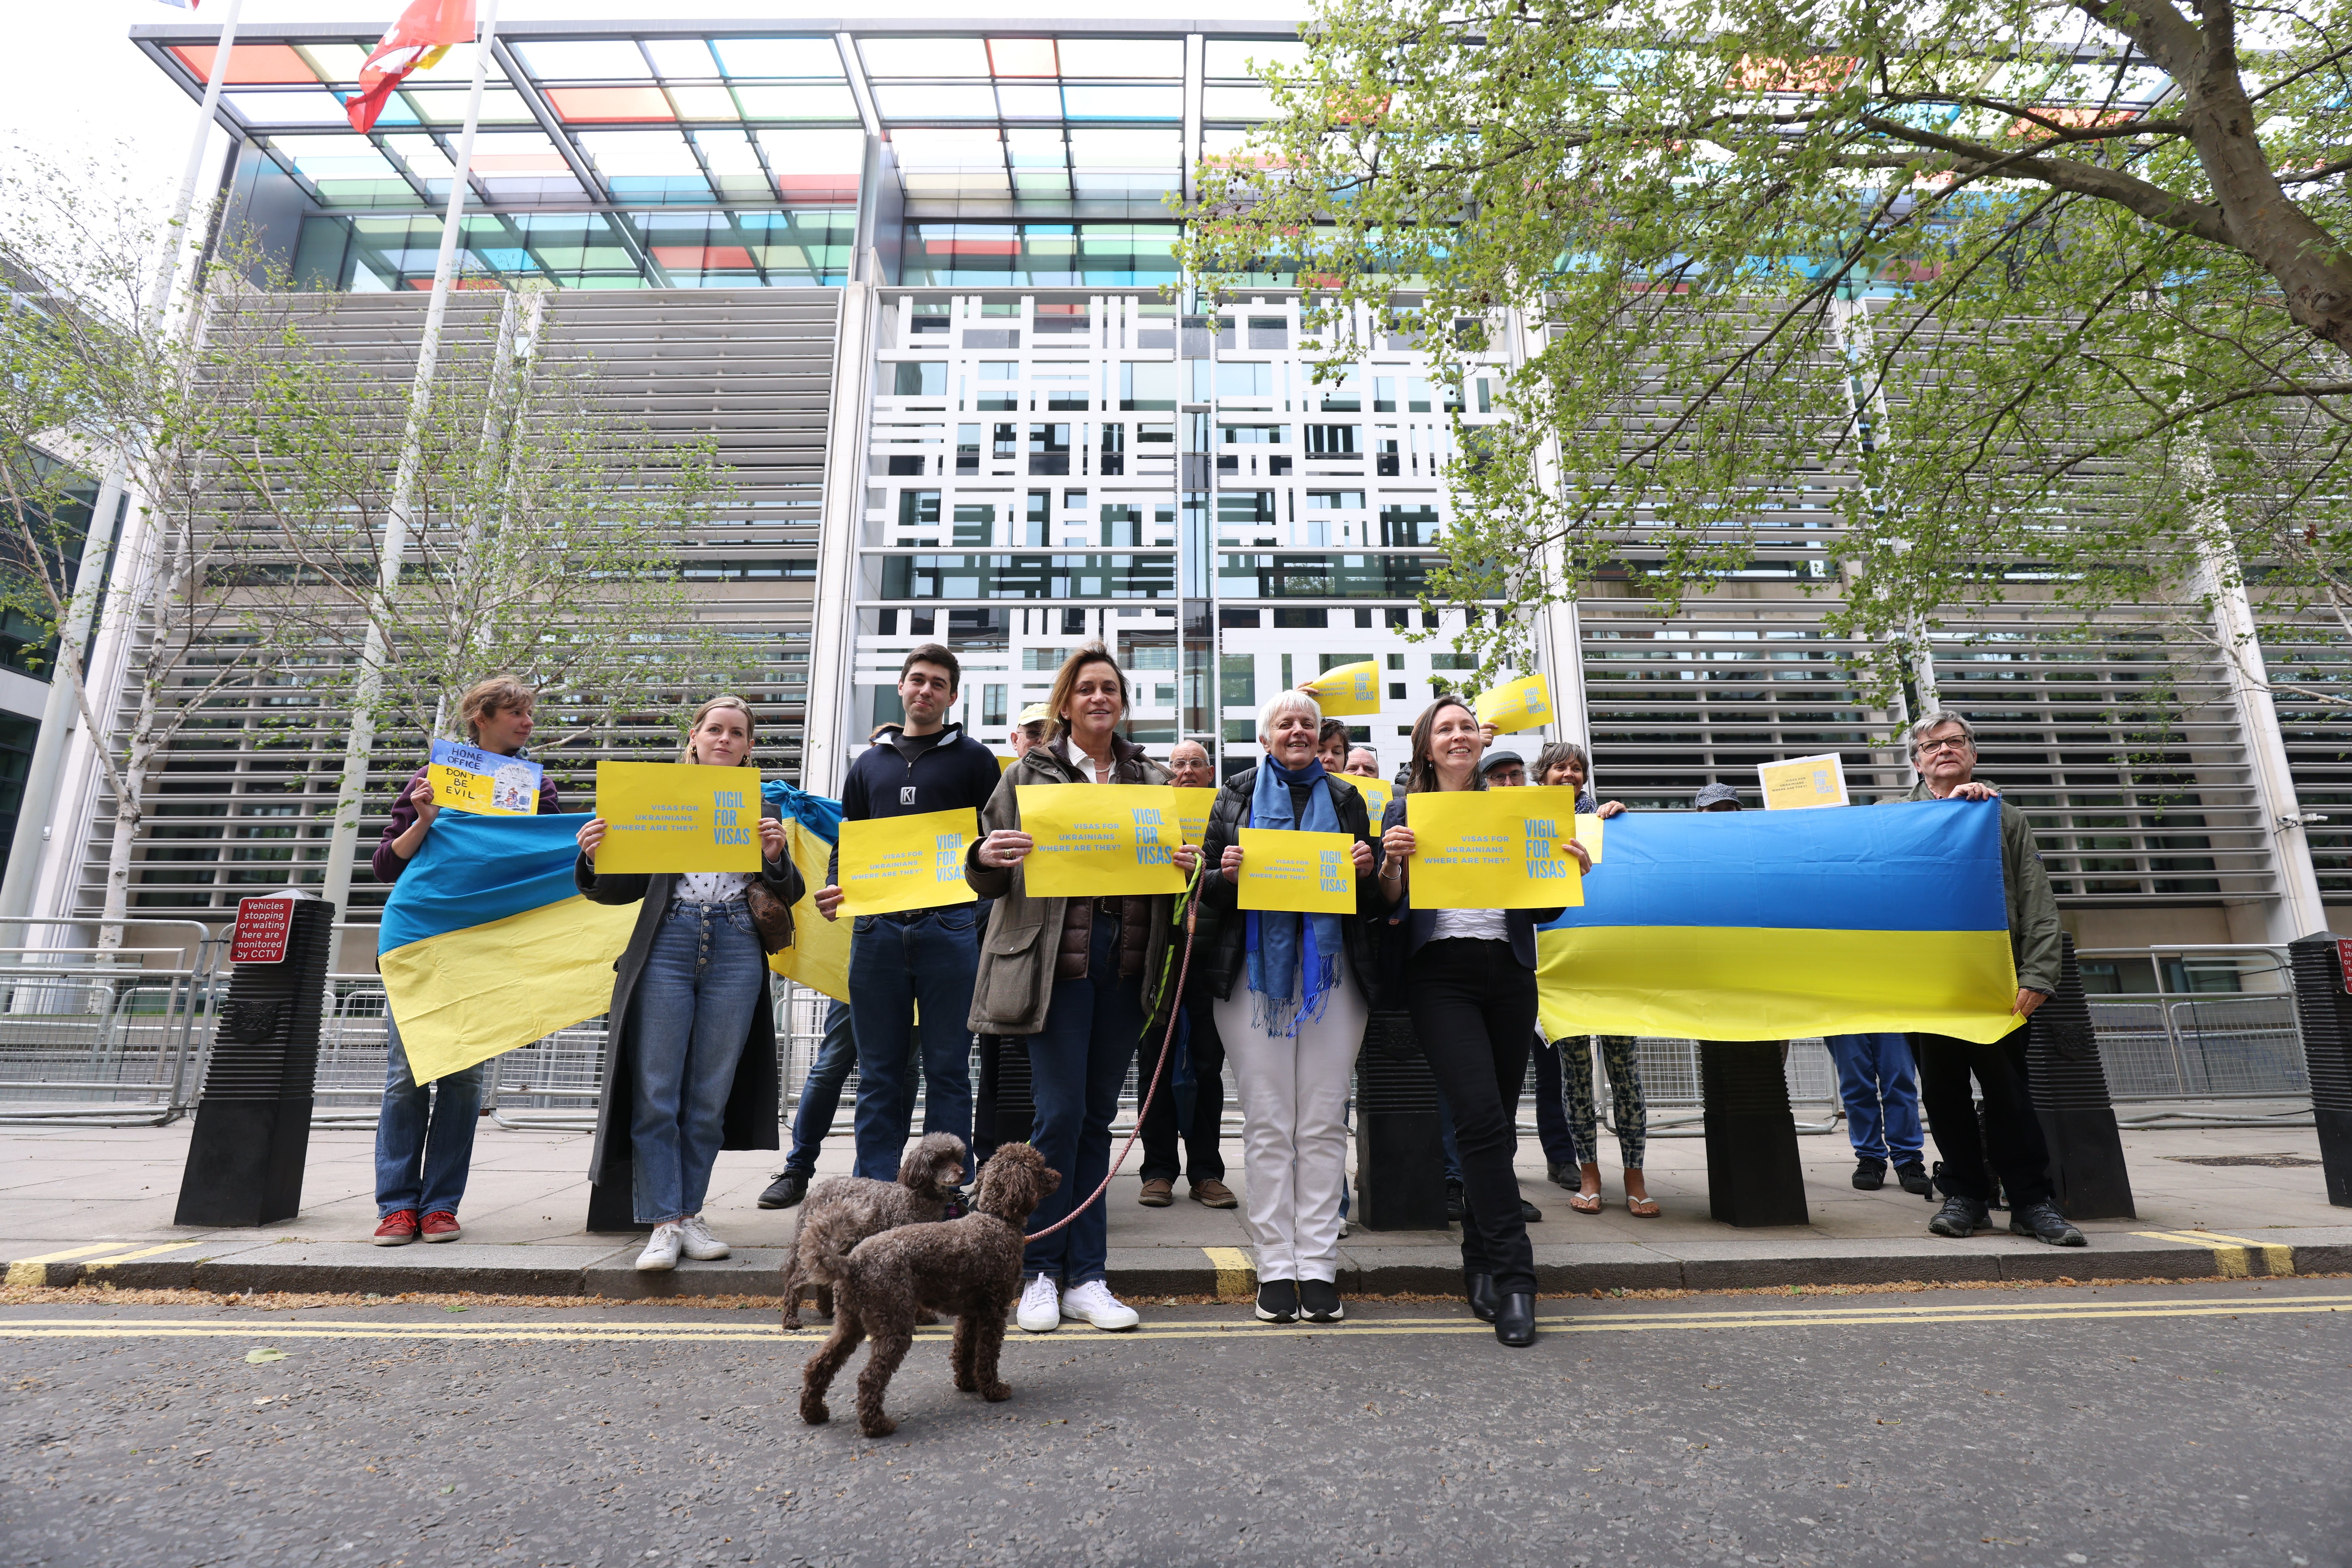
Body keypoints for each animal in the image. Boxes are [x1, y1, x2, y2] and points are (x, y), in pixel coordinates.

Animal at [781, 1133, 964, 1335]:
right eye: (940, 1160)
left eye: (957, 1158)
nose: (962, 1173)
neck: (917, 1197)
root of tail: (813, 1193)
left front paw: (924, 1317)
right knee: (795, 1281)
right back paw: (790, 1319)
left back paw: (827, 1310)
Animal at [809, 1142, 1067, 1438]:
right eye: (1039, 1168)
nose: (1059, 1176)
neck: (996, 1220)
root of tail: (851, 1263)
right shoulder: (994, 1309)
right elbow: (987, 1354)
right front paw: (993, 1390)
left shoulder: (970, 1312)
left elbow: (964, 1349)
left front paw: (967, 1384)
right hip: (893, 1321)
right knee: (868, 1378)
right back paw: (877, 1425)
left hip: (850, 1322)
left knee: (820, 1363)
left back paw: (813, 1412)